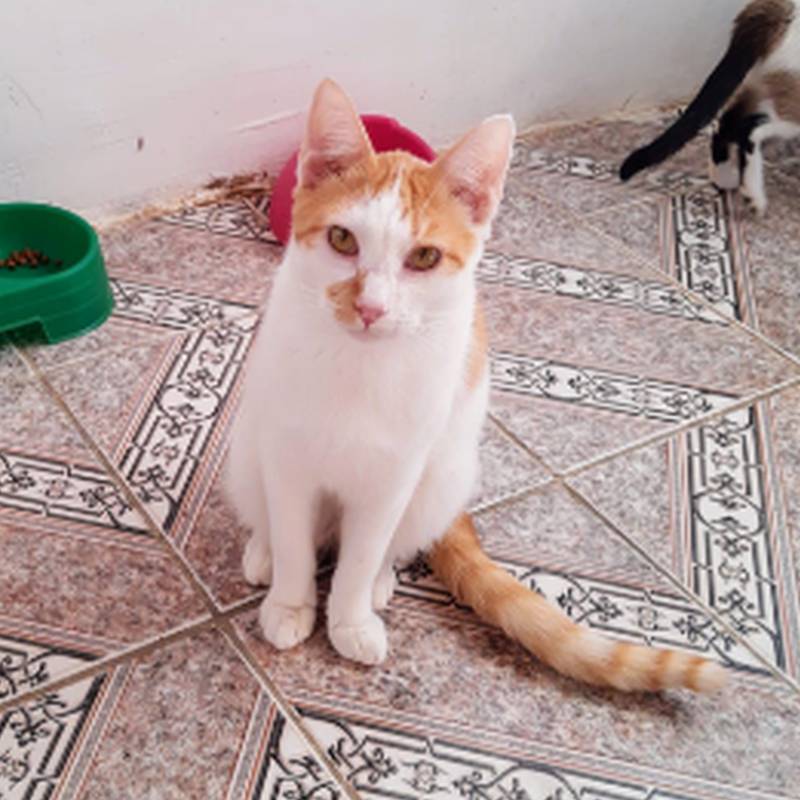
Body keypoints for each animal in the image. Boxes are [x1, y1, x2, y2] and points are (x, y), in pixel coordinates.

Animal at [225, 79, 727, 693]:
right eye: (343, 239)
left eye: (424, 257)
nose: (371, 308)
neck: (361, 367)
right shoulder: (288, 454)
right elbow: (295, 534)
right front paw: (290, 602)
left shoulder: (395, 473)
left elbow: (364, 551)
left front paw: (349, 616)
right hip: (248, 445)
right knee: (272, 511)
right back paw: (264, 552)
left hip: (445, 471)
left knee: (393, 538)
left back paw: (379, 582)